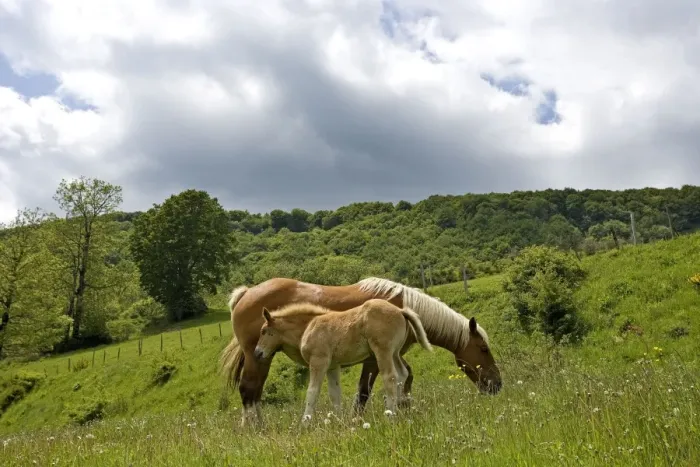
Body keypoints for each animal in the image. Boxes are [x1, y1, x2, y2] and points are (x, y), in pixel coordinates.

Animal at [253, 299, 434, 423]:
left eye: (264, 331)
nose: (257, 353)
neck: (308, 327)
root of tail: (400, 310)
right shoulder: (333, 366)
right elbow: (335, 394)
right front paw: (338, 422)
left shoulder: (318, 362)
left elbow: (312, 392)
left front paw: (305, 423)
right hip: (394, 353)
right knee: (403, 374)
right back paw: (400, 410)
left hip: (383, 352)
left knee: (390, 377)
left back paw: (390, 415)